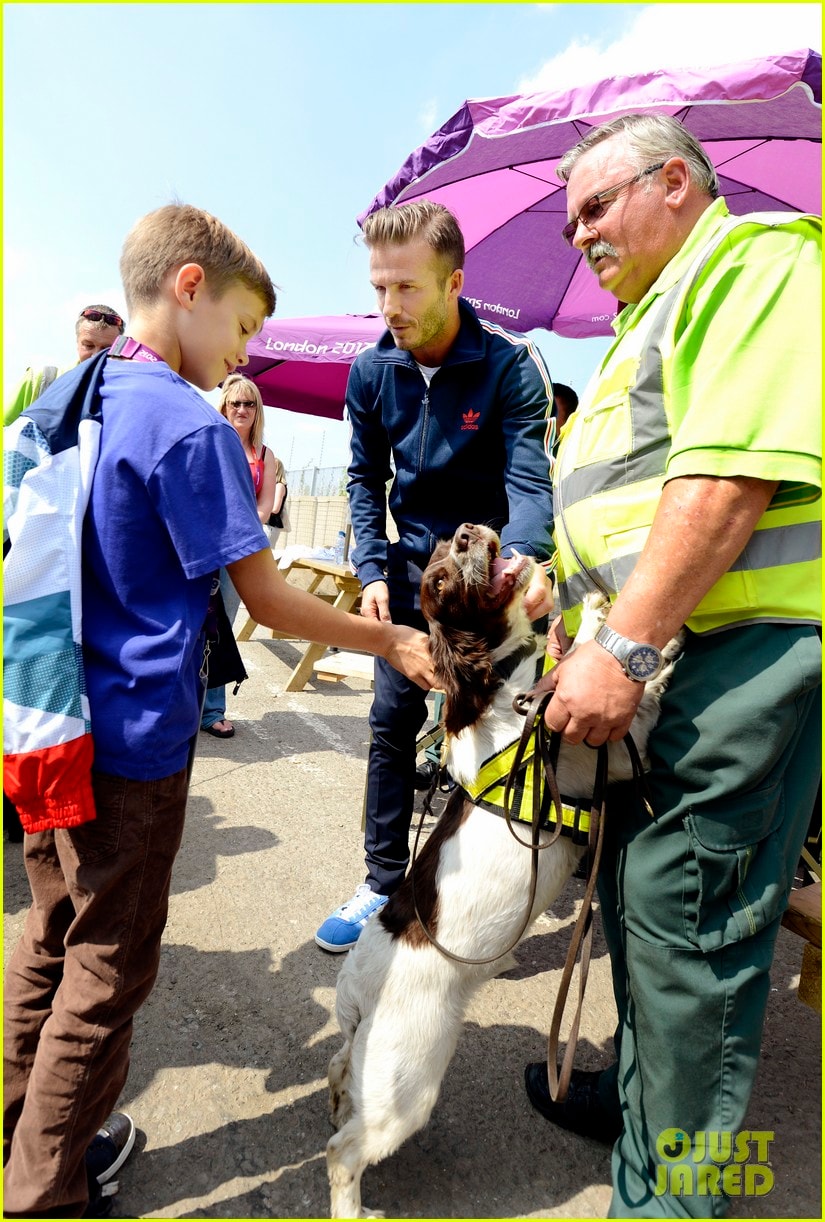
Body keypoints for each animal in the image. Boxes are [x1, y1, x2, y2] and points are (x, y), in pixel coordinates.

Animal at [325, 520, 679, 1217]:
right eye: (439, 582)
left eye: (446, 544)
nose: (466, 532)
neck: (508, 687)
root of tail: (354, 990)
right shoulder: (598, 750)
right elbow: (620, 701)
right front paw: (630, 649)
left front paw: (605, 618)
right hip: (408, 1080)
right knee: (342, 1153)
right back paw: (354, 1206)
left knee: (339, 1083)